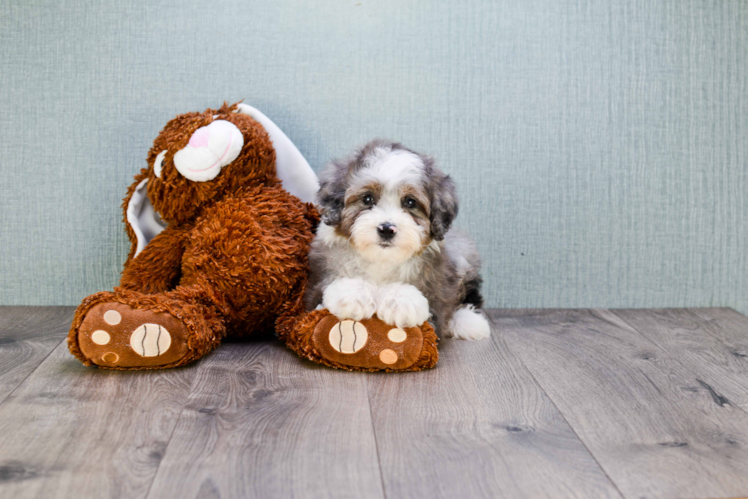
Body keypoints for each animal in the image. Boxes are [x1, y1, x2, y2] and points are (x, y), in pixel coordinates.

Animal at [304, 139, 490, 340]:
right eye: (367, 199)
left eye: (410, 202)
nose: (386, 229)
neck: (382, 259)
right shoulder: (315, 283)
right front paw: (354, 294)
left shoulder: (438, 287)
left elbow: (437, 307)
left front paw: (402, 301)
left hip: (463, 253)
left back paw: (470, 322)